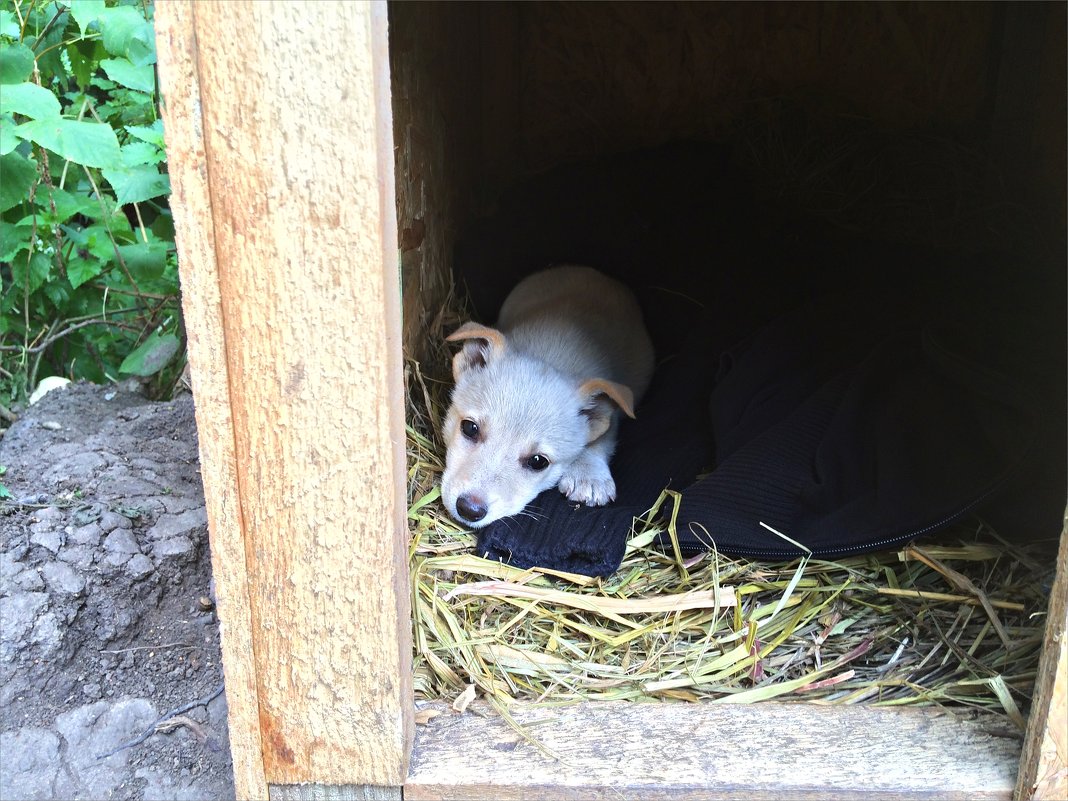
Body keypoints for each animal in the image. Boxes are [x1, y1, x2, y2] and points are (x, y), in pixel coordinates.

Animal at [437, 267, 653, 529]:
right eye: (469, 428)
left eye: (538, 461)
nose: (469, 509)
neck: (549, 353)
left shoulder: (613, 416)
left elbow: (601, 439)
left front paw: (589, 475)